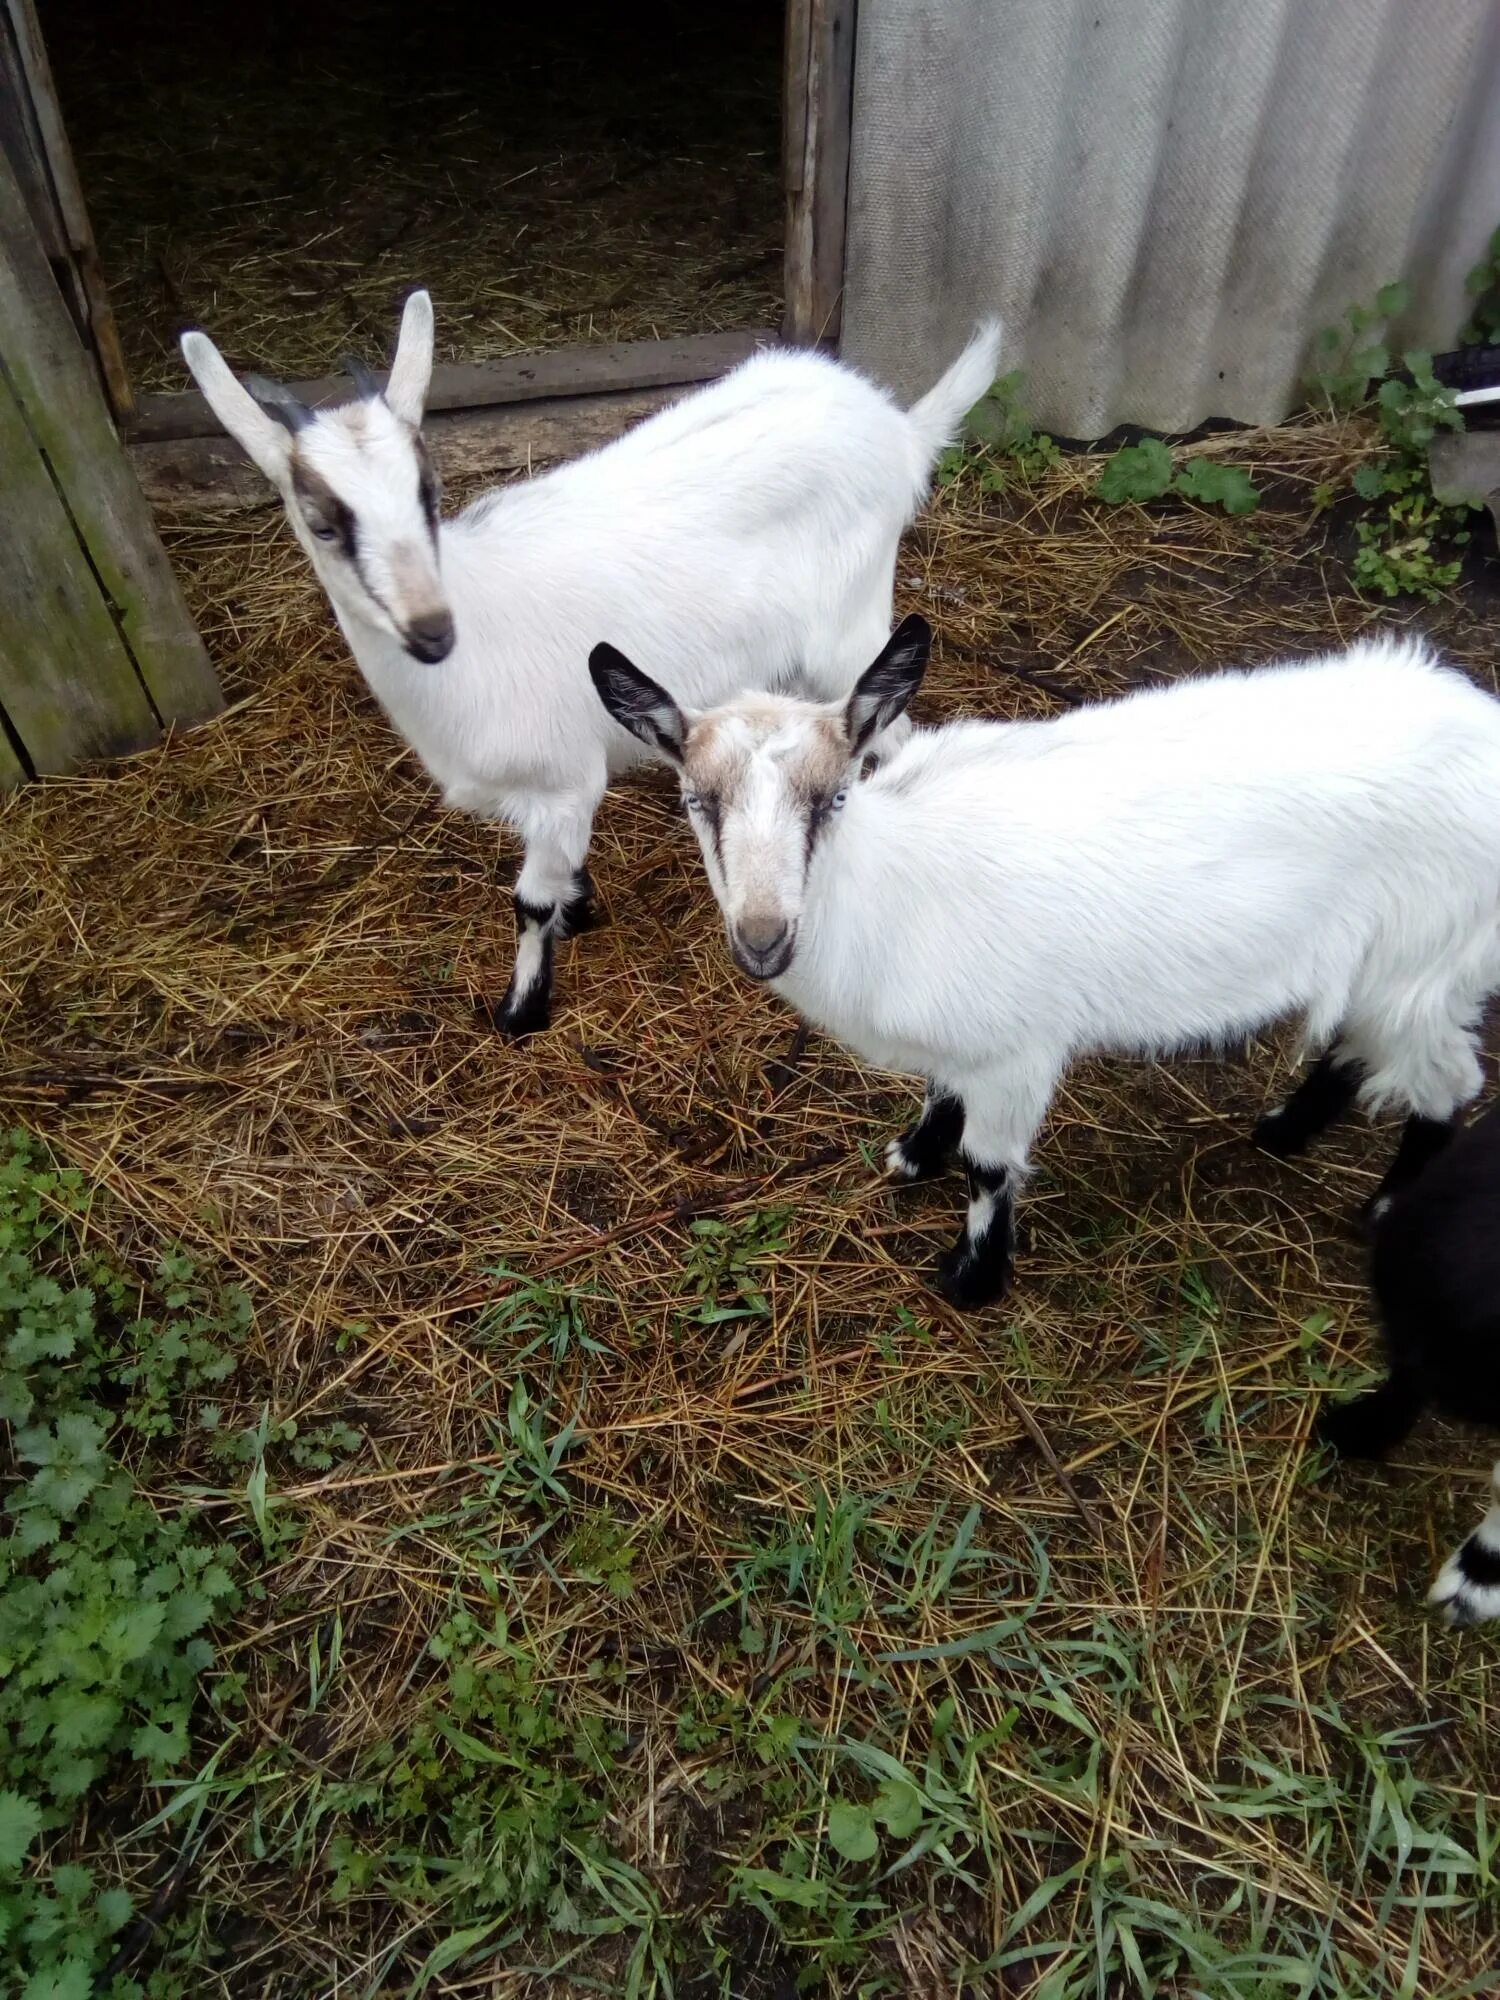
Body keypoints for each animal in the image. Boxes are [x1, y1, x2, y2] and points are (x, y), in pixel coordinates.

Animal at [182, 300, 1004, 1048]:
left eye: (429, 494)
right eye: (322, 522)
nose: (431, 629)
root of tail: (898, 431)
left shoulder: (561, 785)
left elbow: (528, 903)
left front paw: (521, 1011)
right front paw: (581, 908)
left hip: (853, 631)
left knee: (895, 736)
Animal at [592, 616, 1500, 1304]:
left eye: (836, 797)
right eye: (695, 801)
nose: (764, 939)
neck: (894, 887)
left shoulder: (1018, 1050)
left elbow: (989, 1167)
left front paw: (971, 1279)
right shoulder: (965, 1031)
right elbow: (940, 1092)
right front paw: (913, 1154)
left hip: (1431, 956)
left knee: (1445, 1080)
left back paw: (1385, 1207)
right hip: (1386, 960)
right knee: (1358, 1036)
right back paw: (1282, 1131)